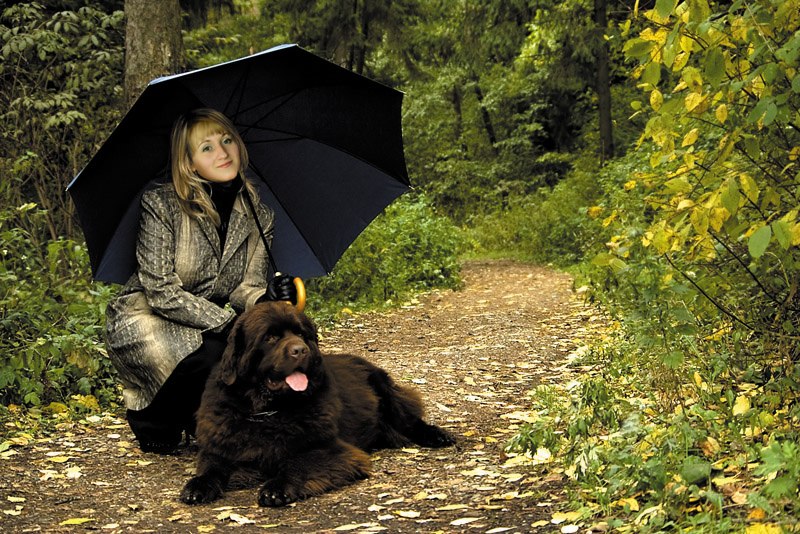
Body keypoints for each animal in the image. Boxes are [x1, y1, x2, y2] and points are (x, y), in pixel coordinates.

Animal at [180, 301, 455, 507]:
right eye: (270, 337)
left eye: (301, 334)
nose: (300, 350)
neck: (267, 411)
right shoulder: (220, 448)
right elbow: (210, 467)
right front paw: (197, 487)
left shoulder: (330, 449)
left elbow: (298, 463)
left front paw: (276, 488)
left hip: (385, 391)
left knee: (410, 420)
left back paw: (438, 436)